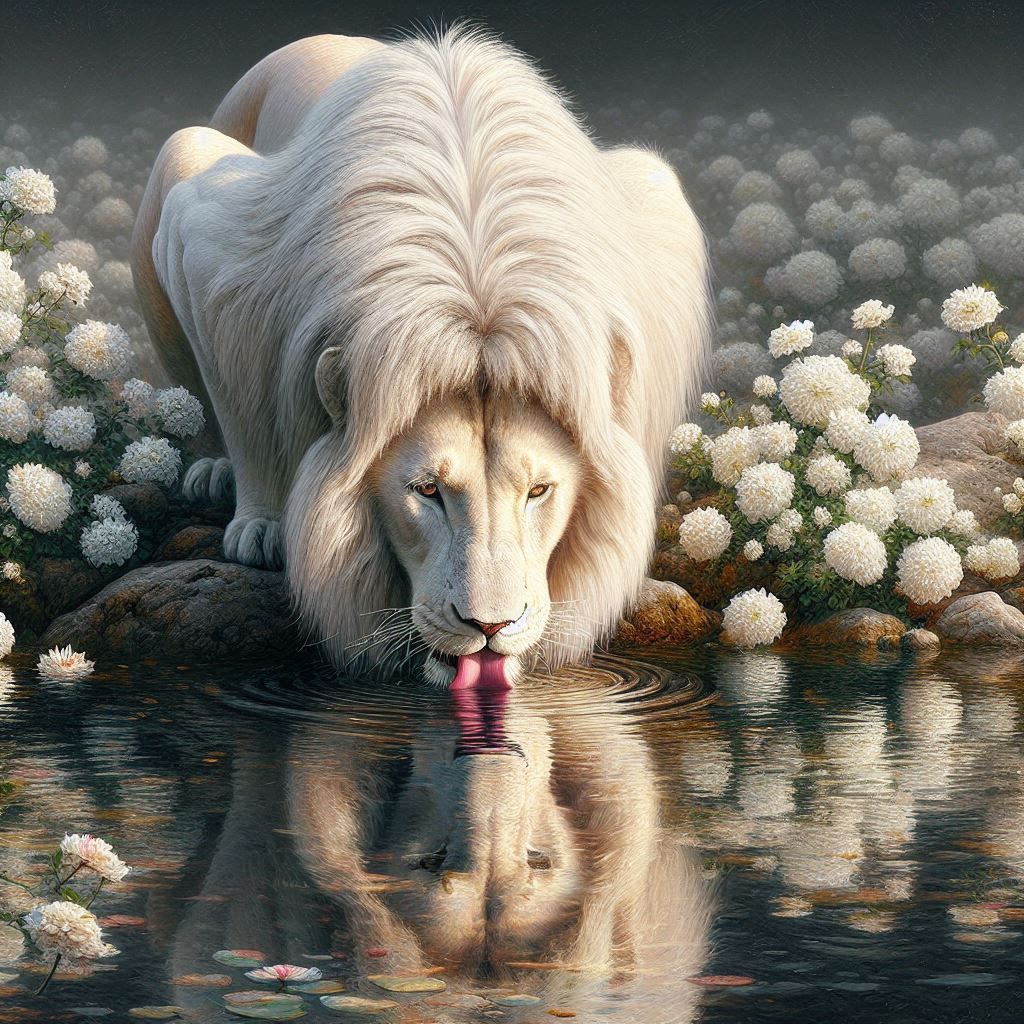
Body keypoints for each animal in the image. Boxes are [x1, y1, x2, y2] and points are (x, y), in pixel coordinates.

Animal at [131, 28, 712, 685]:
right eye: (427, 490)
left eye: (539, 490)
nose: (490, 626)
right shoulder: (211, 242)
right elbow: (243, 413)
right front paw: (261, 528)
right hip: (184, 155)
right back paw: (210, 473)